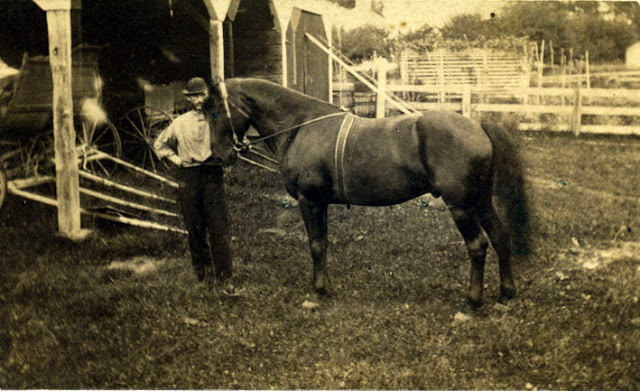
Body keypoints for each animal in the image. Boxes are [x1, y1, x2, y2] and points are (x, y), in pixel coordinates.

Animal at [211, 78, 528, 312]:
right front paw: (326, 289)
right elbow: (323, 243)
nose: (221, 156)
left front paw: (316, 294)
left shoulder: (309, 201)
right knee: (501, 237)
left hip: (461, 206)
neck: (301, 126)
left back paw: (471, 304)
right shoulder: (319, 203)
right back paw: (505, 296)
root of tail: (478, 125)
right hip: (481, 201)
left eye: (213, 110)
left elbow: (315, 245)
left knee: (477, 246)